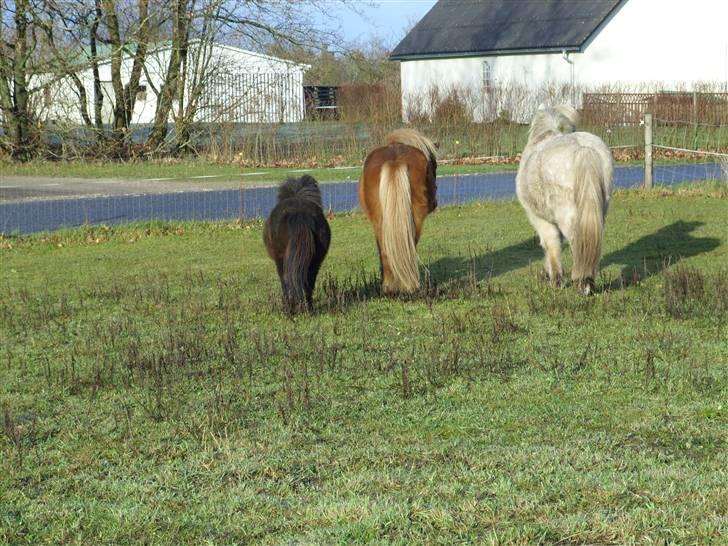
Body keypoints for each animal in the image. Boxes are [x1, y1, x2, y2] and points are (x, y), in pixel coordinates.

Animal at [264, 174, 332, 310]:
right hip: (315, 261)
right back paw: (307, 307)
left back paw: (289, 308)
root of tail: (300, 214)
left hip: (281, 260)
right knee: (308, 280)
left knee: (286, 280)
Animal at [516, 105, 616, 294]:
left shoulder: (539, 219)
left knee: (577, 243)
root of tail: (583, 150)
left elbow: (551, 245)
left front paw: (555, 279)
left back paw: (583, 282)